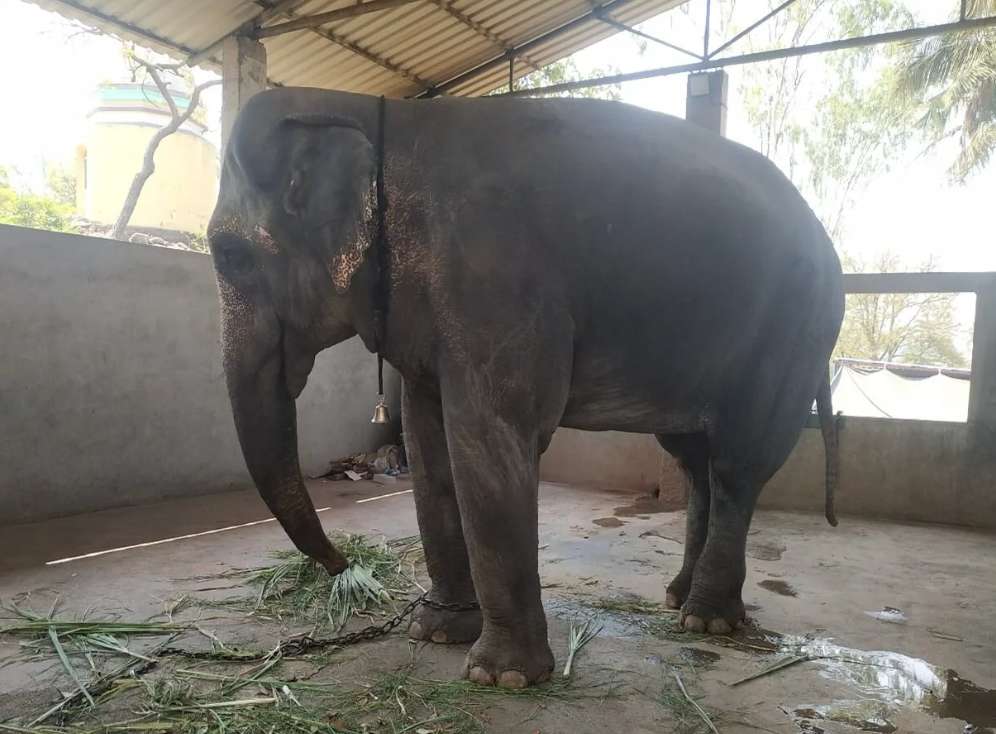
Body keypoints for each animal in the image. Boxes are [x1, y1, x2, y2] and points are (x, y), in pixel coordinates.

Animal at [207, 87, 844, 689]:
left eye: (230, 256)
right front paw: (437, 633)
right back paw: (678, 598)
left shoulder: (495, 278)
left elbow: (491, 438)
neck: (376, 116)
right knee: (694, 461)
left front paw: (503, 677)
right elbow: (428, 445)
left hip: (794, 330)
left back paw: (706, 621)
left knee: (738, 463)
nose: (343, 565)